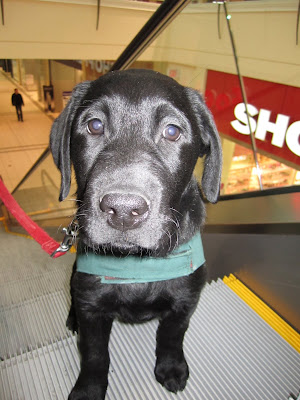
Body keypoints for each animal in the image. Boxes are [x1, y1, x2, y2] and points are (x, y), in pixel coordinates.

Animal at [50, 70, 221, 398]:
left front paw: (171, 367)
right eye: (94, 125)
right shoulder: (92, 304)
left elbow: (172, 335)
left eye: (171, 131)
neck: (136, 264)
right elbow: (94, 354)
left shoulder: (186, 299)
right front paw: (89, 389)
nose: (123, 210)